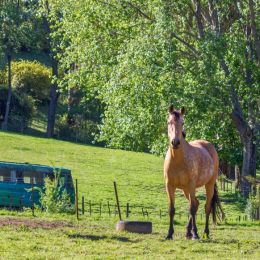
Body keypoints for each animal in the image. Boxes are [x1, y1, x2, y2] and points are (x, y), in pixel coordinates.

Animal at [165, 105, 223, 240]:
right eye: (169, 122)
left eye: (182, 123)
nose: (175, 142)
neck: (177, 161)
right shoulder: (169, 186)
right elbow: (172, 209)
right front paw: (169, 234)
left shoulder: (192, 185)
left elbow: (191, 209)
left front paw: (195, 234)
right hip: (186, 190)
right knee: (196, 203)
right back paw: (188, 232)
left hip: (208, 185)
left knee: (206, 207)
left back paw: (205, 233)